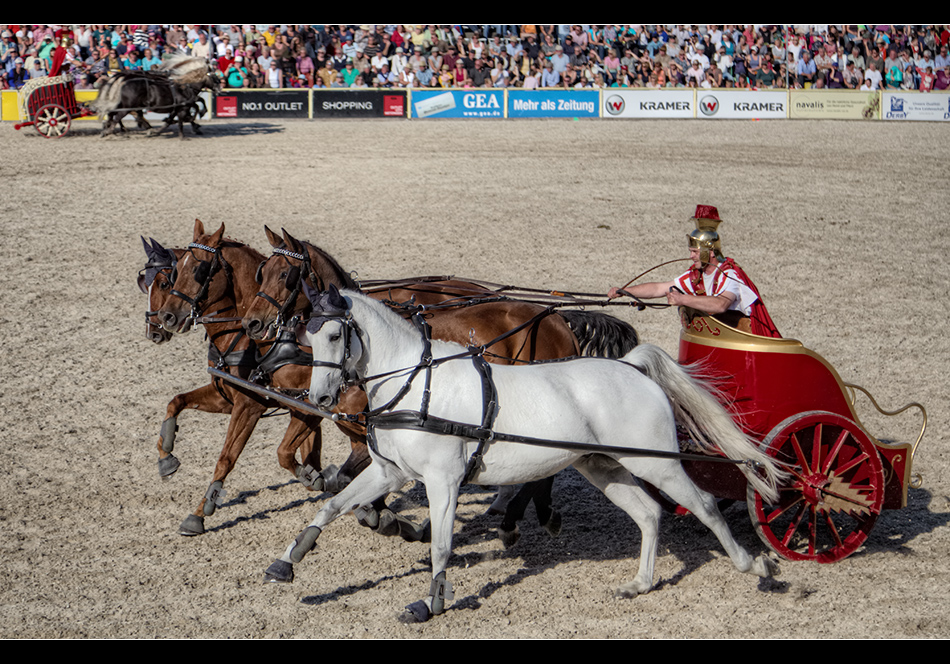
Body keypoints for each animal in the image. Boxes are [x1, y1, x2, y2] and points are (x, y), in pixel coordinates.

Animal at [152, 220, 324, 536]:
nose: (166, 317)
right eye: (176, 270)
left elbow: (227, 457)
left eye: (201, 270)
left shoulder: (250, 405)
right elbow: (176, 402)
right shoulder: (225, 396)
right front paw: (166, 457)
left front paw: (200, 513)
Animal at [264, 286, 784, 624]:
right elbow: (330, 506)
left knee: (706, 506)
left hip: (655, 462)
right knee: (650, 513)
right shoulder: (391, 472)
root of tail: (631, 367)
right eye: (308, 336)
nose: (321, 398)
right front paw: (288, 562)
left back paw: (756, 566)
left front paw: (431, 603)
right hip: (604, 466)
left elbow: (440, 545)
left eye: (334, 336)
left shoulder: (442, 481)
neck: (414, 382)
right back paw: (641, 582)